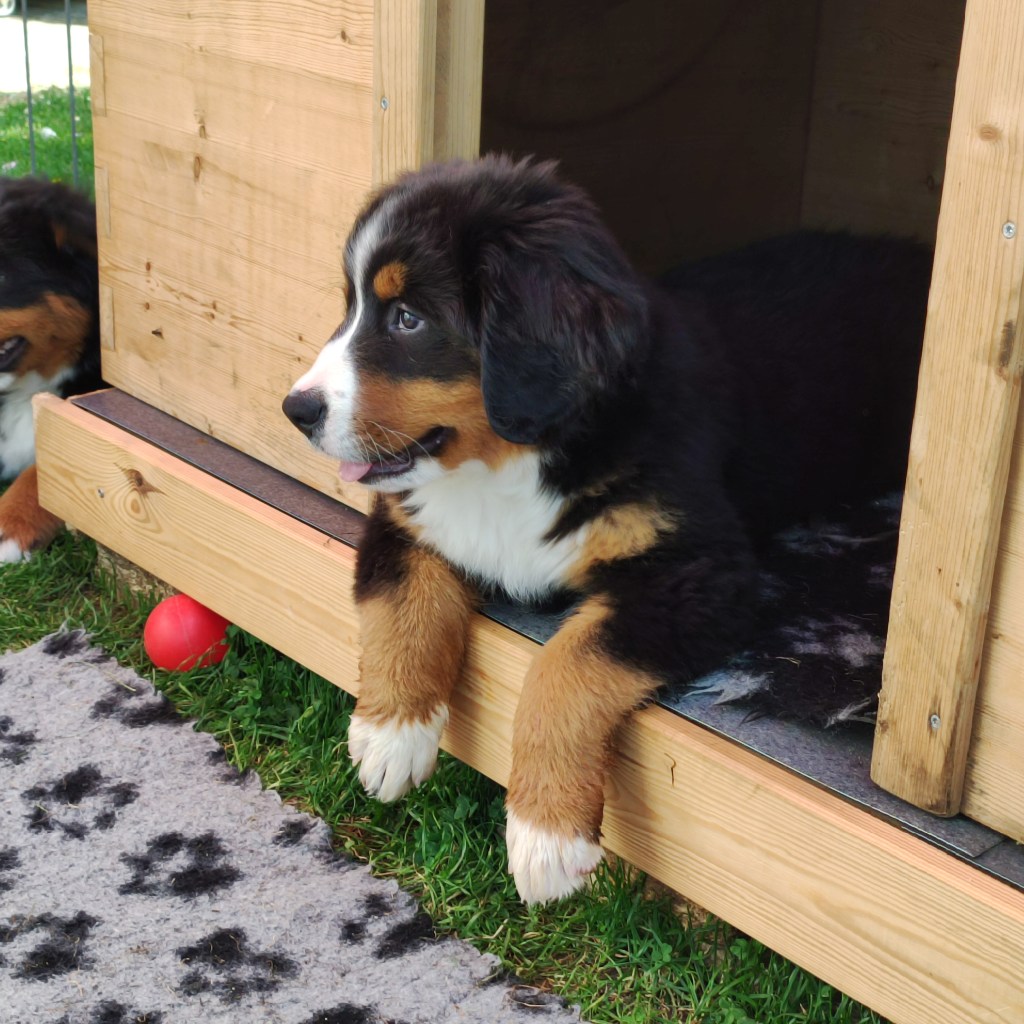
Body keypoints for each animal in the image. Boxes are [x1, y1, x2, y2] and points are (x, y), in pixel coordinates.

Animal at [283, 155, 930, 903]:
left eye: (408, 318)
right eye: (353, 307)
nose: (295, 410)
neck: (514, 463)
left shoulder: (699, 574)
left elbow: (565, 665)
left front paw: (545, 837)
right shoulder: (405, 522)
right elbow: (404, 607)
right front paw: (390, 735)